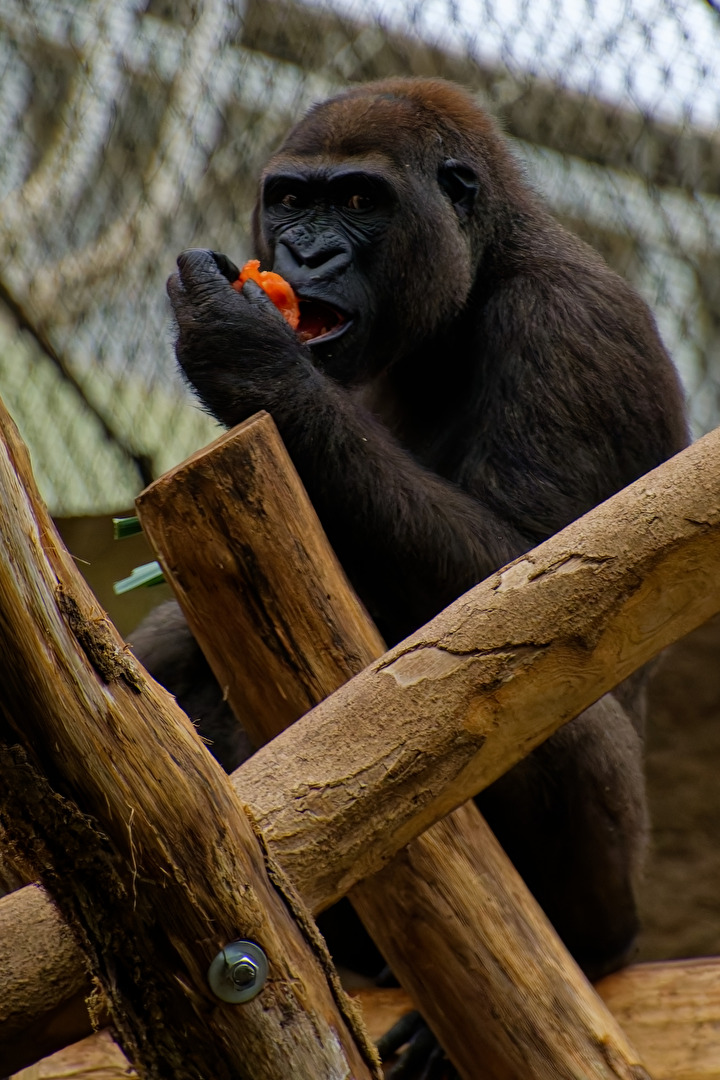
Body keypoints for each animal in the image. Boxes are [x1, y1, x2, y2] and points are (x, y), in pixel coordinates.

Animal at [131, 77, 688, 1019]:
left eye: (360, 202)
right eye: (290, 200)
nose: (305, 252)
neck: (487, 262)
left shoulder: (572, 324)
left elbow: (548, 583)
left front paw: (253, 359)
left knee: (548, 707)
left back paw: (589, 943)